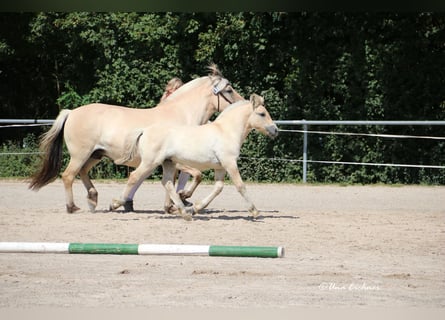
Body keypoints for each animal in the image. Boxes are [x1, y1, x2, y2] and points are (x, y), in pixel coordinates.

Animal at [28, 65, 243, 212]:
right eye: (229, 90)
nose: (243, 104)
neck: (181, 115)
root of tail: (71, 112)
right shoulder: (175, 160)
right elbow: (195, 175)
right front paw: (183, 197)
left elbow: (174, 181)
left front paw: (173, 205)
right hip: (80, 154)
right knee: (68, 176)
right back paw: (73, 207)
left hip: (95, 155)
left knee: (82, 173)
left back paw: (93, 198)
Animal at [111, 94, 278, 221]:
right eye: (262, 114)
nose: (275, 130)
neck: (226, 131)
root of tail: (145, 130)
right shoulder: (229, 163)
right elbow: (240, 186)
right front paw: (255, 211)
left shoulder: (220, 167)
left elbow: (218, 188)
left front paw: (195, 208)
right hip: (150, 162)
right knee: (134, 177)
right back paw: (115, 204)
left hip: (168, 163)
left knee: (167, 183)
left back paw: (185, 213)